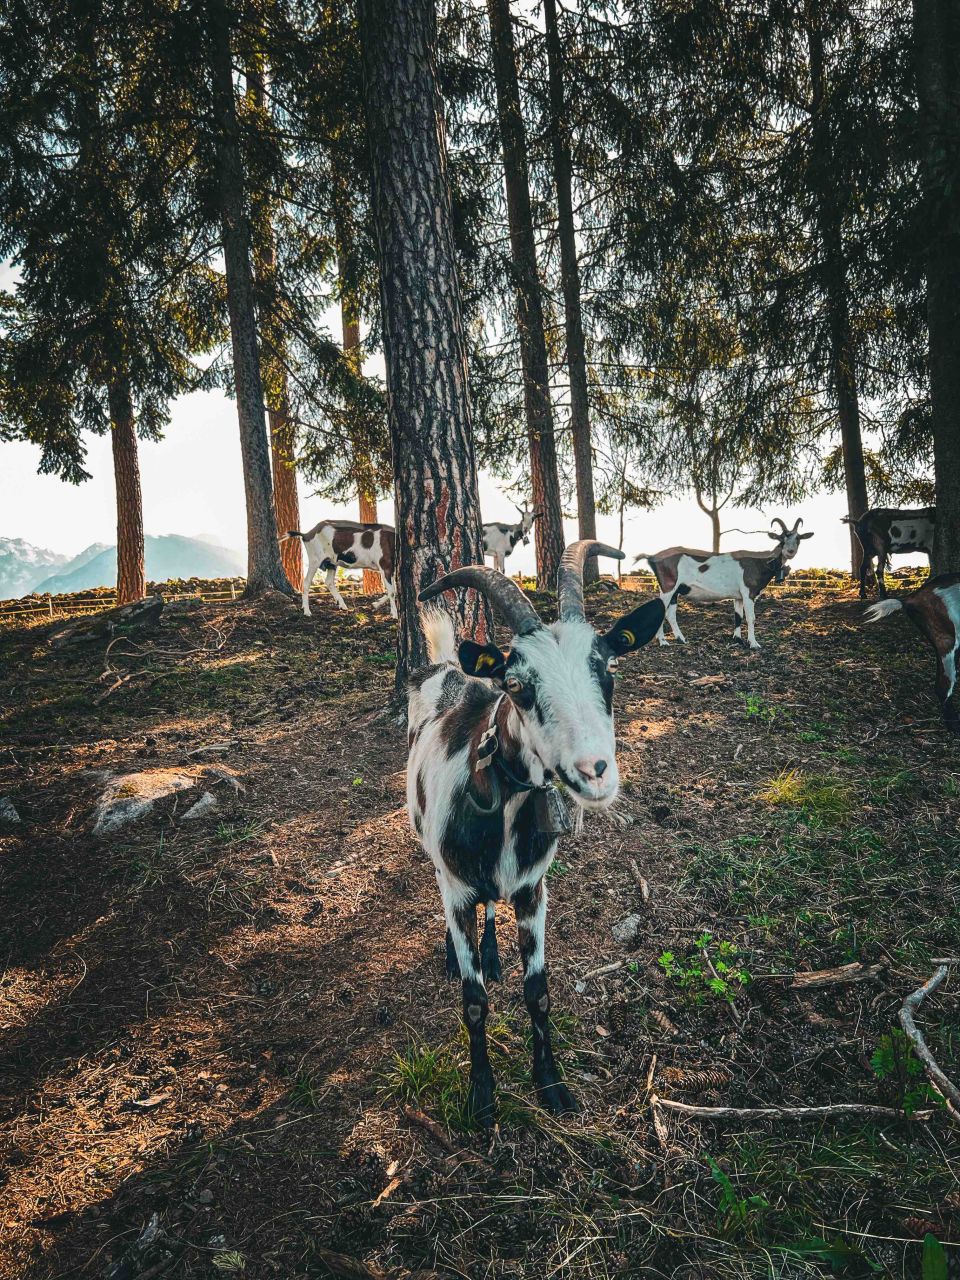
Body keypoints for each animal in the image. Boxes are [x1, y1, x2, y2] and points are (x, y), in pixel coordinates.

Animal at [408, 542, 664, 1125]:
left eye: (608, 668)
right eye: (517, 685)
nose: (596, 771)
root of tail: (448, 667)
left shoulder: (533, 890)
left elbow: (538, 991)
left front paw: (552, 1084)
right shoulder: (458, 889)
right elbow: (473, 1001)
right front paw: (482, 1096)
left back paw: (491, 952)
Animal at [637, 517, 813, 650]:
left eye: (798, 539)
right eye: (782, 539)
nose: (790, 552)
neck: (761, 562)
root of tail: (652, 557)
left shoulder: (739, 596)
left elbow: (738, 616)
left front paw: (738, 639)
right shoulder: (748, 593)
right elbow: (751, 618)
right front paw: (754, 644)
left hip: (675, 591)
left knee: (670, 614)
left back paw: (681, 639)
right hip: (668, 587)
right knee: (662, 611)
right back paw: (663, 641)